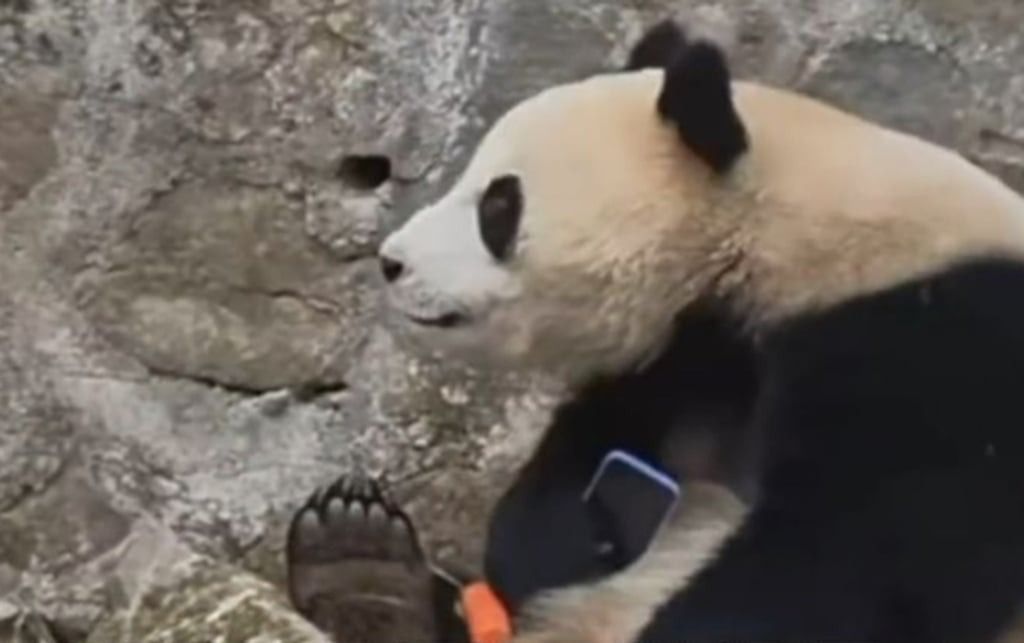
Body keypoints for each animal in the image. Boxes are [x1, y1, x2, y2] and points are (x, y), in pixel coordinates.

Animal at [297, 18, 1024, 643]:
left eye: (499, 204)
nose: (393, 261)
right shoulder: (699, 344)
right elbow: (593, 447)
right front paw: (576, 527)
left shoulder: (936, 348)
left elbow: (854, 552)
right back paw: (363, 571)